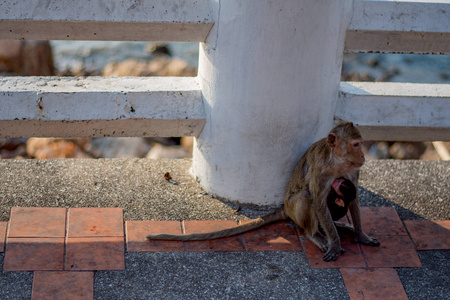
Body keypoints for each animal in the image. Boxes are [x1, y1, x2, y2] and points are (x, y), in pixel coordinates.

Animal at [148, 121, 380, 260]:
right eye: (356, 144)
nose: (363, 156)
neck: (337, 162)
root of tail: (285, 207)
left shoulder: (352, 170)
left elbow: (354, 199)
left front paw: (361, 235)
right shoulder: (321, 170)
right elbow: (318, 201)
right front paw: (335, 243)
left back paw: (341, 227)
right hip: (294, 208)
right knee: (306, 197)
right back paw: (315, 234)